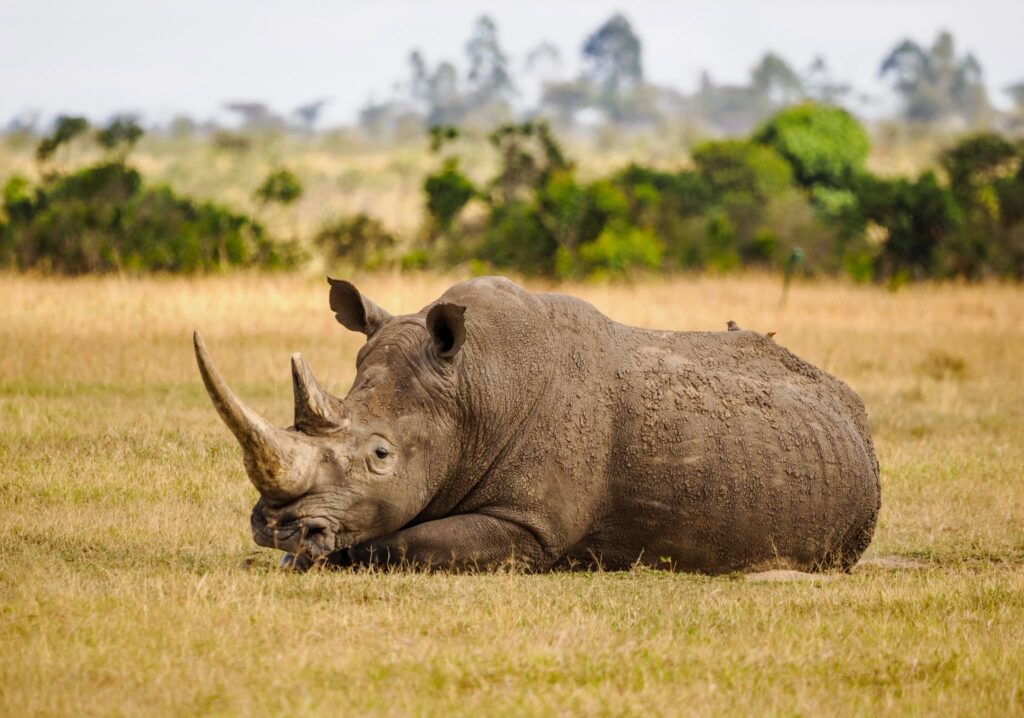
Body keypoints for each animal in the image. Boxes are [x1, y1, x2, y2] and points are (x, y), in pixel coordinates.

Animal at [194, 276, 880, 573]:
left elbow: (400, 542)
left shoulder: (531, 526)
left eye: (381, 456)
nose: (276, 528)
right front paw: (299, 557)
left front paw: (325, 556)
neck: (473, 388)